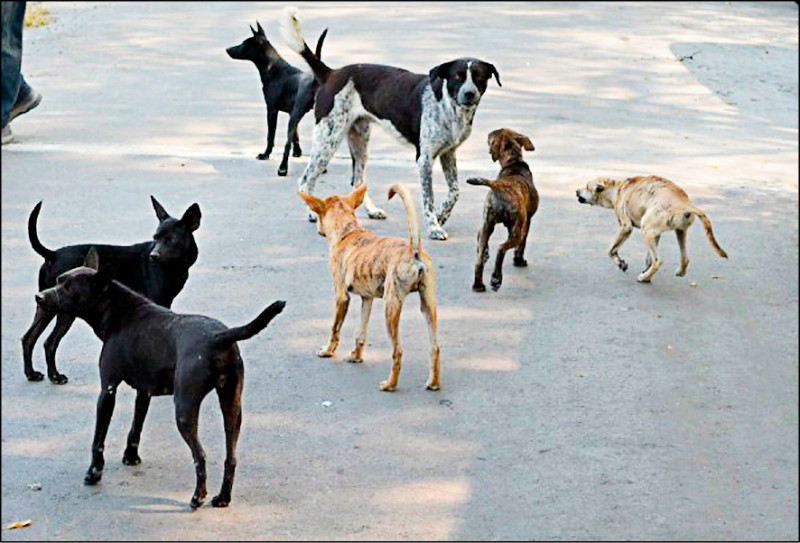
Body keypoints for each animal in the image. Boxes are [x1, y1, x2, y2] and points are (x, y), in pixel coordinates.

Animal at [21, 198, 202, 384]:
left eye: (172, 240)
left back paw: (32, 373)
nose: (153, 256)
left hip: (46, 305)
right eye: (155, 238)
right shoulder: (159, 303)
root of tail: (52, 254)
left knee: (29, 338)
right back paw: (55, 375)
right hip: (64, 309)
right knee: (50, 342)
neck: (173, 266)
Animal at [37, 250, 288, 510]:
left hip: (185, 410)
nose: (38, 296)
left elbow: (99, 438)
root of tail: (219, 337)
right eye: (58, 281)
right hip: (232, 407)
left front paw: (94, 472)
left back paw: (198, 496)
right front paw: (131, 457)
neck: (118, 310)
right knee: (231, 457)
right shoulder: (144, 392)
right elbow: (136, 427)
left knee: (200, 456)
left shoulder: (108, 390)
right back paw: (222, 497)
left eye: (67, 287)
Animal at [227, 21, 326, 177]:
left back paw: (282, 168)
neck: (273, 67)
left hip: (295, 115)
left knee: (286, 144)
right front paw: (298, 152)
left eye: (244, 44)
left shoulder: (272, 110)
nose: (228, 49)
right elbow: (296, 137)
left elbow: (271, 136)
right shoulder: (292, 113)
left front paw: (265, 155)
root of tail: (315, 80)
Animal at [278, 6, 496, 240]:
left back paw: (371, 210)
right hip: (327, 141)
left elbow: (455, 191)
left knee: (357, 181)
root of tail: (332, 74)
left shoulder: (448, 153)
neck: (447, 105)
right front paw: (434, 226)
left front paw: (442, 216)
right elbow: (428, 199)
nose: (469, 94)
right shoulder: (425, 158)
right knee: (305, 180)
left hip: (360, 140)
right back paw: (312, 213)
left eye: (479, 77)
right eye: (457, 76)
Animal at [580, 176, 728, 284]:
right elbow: (648, 258)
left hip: (646, 231)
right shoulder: (655, 234)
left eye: (587, 187)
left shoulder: (626, 227)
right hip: (678, 231)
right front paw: (645, 269)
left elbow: (611, 250)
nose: (576, 191)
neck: (618, 188)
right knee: (684, 258)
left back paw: (643, 277)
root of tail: (683, 203)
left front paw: (620, 263)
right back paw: (670, 272)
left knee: (658, 261)